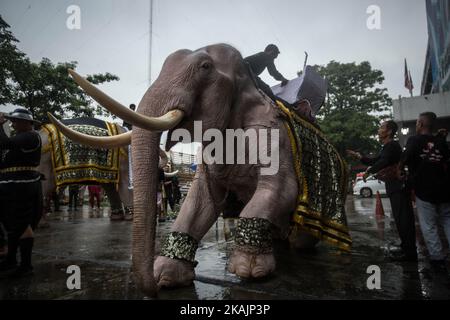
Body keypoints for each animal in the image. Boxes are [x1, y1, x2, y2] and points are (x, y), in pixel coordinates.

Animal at [49, 43, 352, 298]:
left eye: (205, 67)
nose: (151, 291)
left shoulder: (272, 135)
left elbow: (281, 188)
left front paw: (248, 270)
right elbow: (201, 199)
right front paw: (166, 277)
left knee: (300, 238)